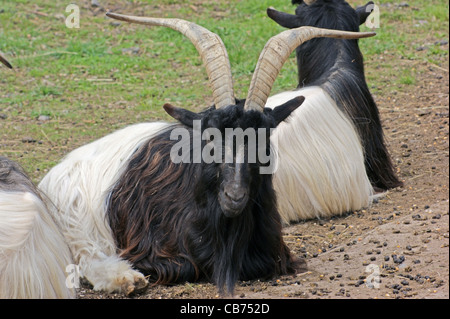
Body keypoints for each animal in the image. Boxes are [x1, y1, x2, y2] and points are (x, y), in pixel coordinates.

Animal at [37, 13, 372, 296]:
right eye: (210, 139)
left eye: (264, 140)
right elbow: (182, 266)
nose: (234, 196)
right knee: (84, 256)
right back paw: (125, 279)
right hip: (75, 221)